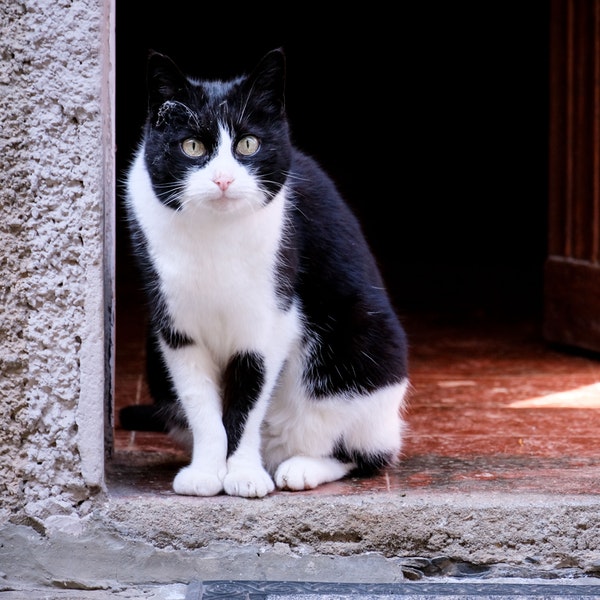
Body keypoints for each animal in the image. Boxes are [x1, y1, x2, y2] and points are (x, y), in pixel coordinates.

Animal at [121, 47, 410, 498]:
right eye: (191, 146)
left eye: (248, 144)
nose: (223, 179)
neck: (217, 235)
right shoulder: (175, 328)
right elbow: (202, 407)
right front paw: (206, 472)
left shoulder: (269, 322)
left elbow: (248, 401)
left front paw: (242, 474)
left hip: (366, 347)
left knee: (363, 454)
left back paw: (300, 468)